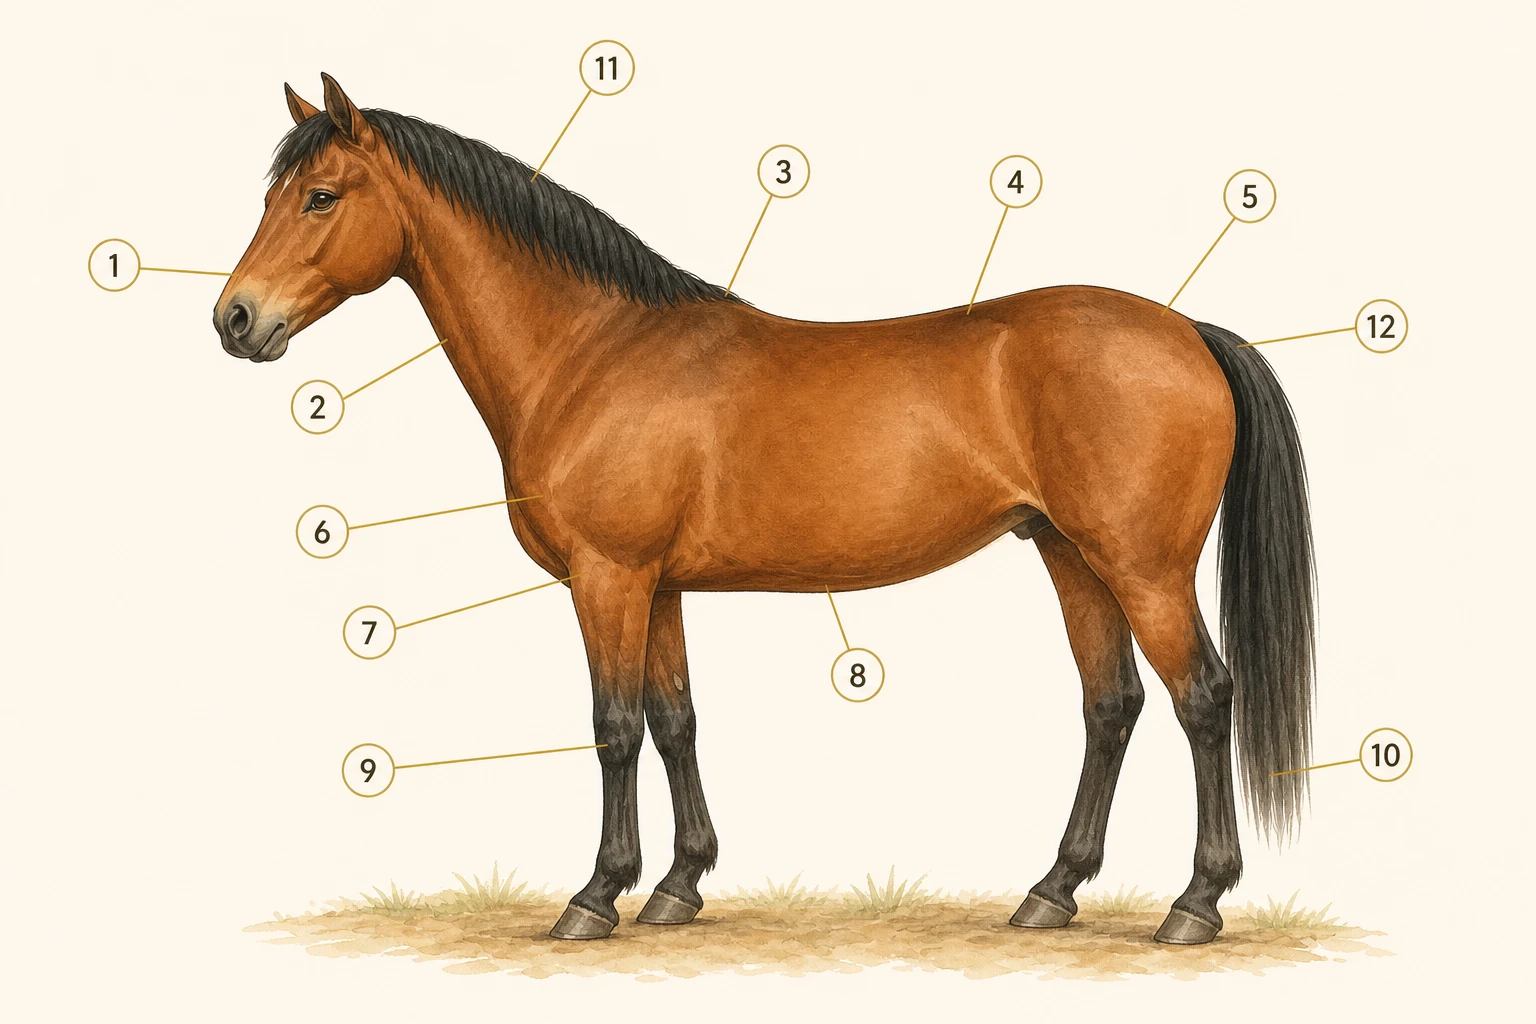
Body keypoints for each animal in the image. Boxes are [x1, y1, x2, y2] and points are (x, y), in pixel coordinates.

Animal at [215, 75, 1315, 945]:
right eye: (273, 194)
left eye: (319, 196)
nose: (235, 318)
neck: (595, 352)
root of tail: (1187, 331)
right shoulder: (658, 587)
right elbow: (675, 720)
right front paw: (678, 886)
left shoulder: (607, 578)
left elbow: (613, 726)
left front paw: (595, 896)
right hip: (1069, 555)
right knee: (1110, 705)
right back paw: (1051, 892)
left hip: (1141, 566)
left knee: (1202, 696)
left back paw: (1194, 905)